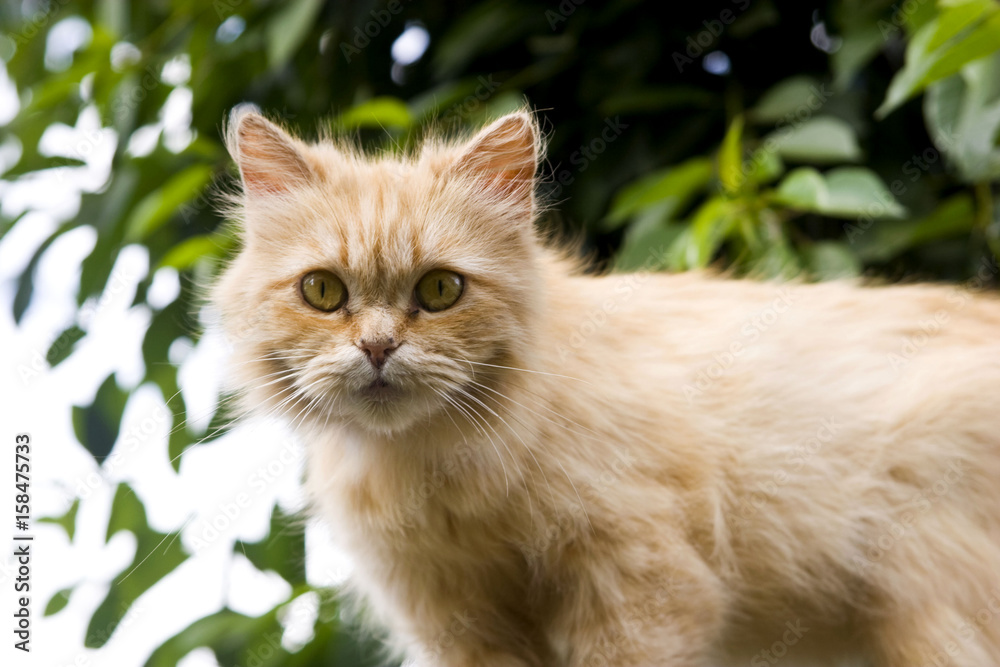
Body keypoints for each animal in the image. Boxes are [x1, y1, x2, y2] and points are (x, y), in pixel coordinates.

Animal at [209, 107, 1000, 664]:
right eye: (322, 292)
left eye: (439, 290)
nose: (377, 347)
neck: (439, 472)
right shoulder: (462, 627)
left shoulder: (642, 586)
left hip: (929, 612)